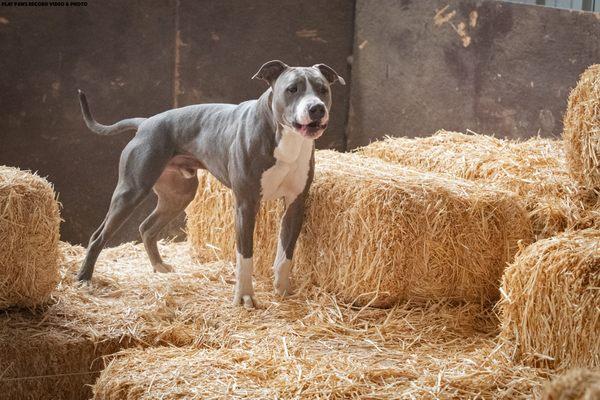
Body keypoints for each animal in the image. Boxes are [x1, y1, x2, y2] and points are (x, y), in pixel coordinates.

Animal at [77, 60, 344, 310]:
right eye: (292, 89)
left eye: (323, 89)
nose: (316, 108)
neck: (287, 139)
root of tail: (146, 123)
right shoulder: (246, 205)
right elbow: (245, 255)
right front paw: (245, 296)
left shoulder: (295, 205)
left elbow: (286, 253)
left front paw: (282, 289)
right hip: (131, 190)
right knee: (99, 235)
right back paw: (83, 279)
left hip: (178, 195)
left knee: (146, 227)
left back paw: (159, 267)